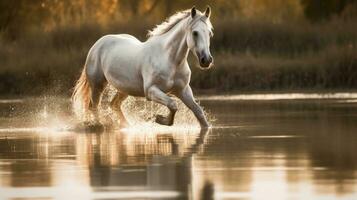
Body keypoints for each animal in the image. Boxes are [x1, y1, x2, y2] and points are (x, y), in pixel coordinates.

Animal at [71, 6, 213, 128]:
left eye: (210, 33)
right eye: (195, 33)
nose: (206, 60)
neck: (170, 60)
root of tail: (98, 44)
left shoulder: (183, 90)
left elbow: (199, 112)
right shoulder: (151, 91)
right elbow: (173, 104)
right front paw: (159, 119)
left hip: (124, 89)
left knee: (114, 105)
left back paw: (127, 126)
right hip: (97, 85)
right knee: (93, 106)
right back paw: (98, 125)